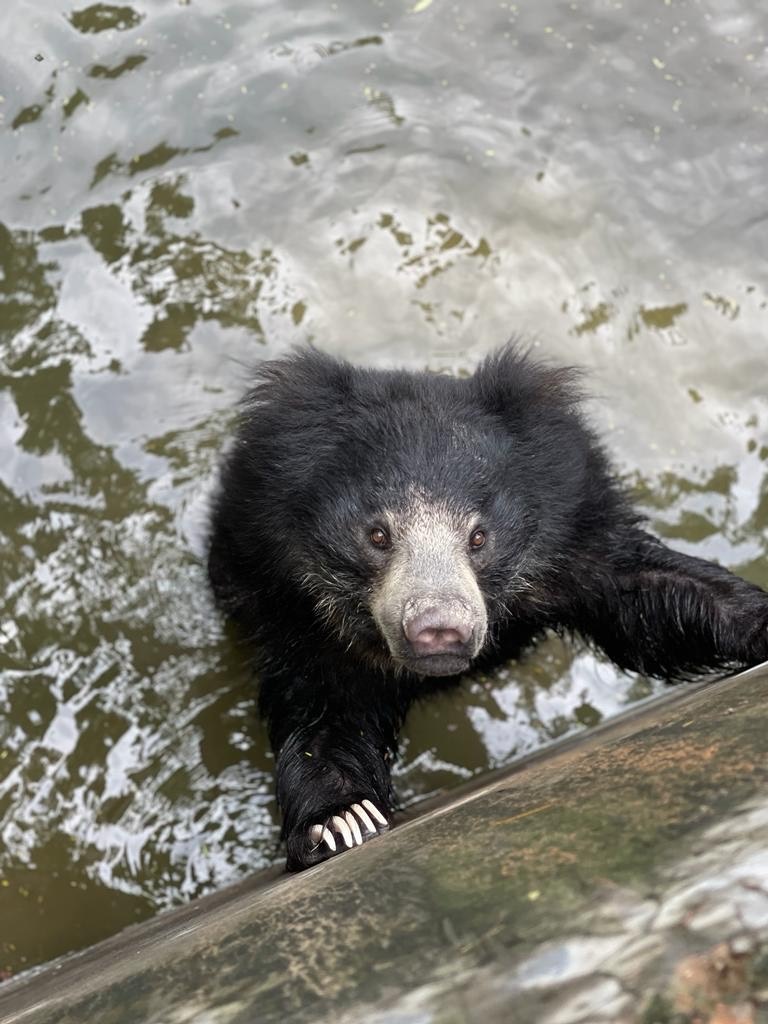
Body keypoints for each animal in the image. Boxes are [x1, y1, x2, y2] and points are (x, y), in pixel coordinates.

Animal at [207, 345, 768, 871]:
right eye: (377, 535)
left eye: (478, 537)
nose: (439, 630)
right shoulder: (300, 610)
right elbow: (321, 712)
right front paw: (342, 819)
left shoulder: (572, 546)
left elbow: (649, 597)